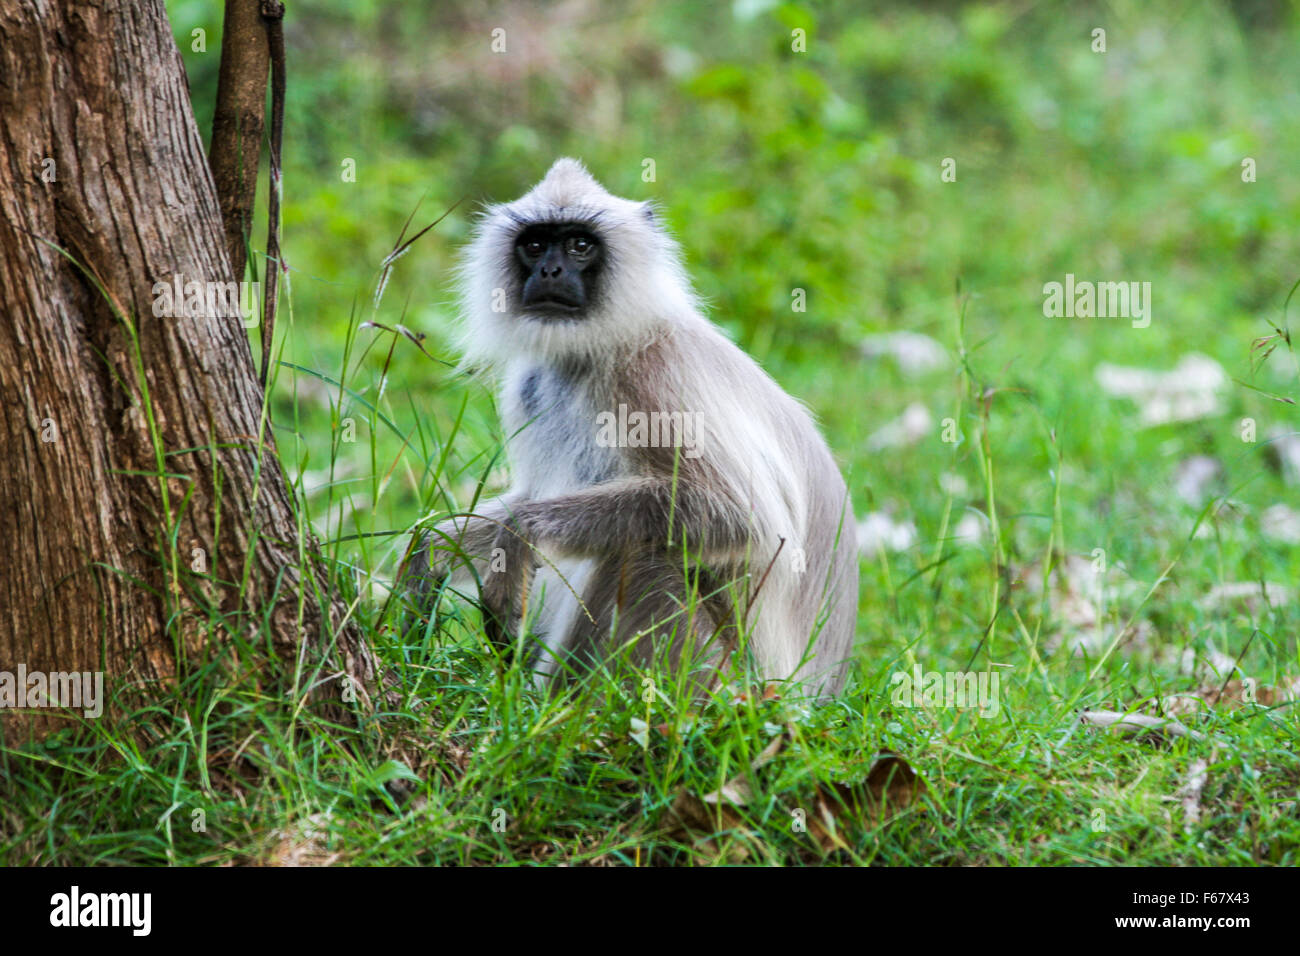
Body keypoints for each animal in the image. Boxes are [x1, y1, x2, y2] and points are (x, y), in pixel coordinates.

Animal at [400, 155, 857, 697]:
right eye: (535, 244)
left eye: (579, 245)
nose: (550, 269)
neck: (588, 354)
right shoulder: (529, 386)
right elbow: (523, 495)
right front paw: (428, 551)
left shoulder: (650, 374)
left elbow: (742, 516)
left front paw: (518, 537)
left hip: (719, 679)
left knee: (643, 555)